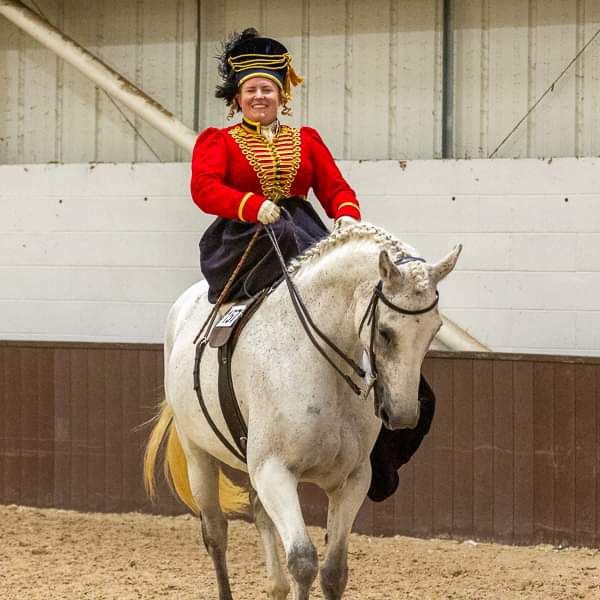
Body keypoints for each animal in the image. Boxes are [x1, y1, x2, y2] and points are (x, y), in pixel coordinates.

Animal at [144, 224, 460, 600]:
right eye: (385, 332)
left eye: (434, 330)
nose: (403, 416)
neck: (320, 361)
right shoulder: (274, 472)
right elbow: (303, 561)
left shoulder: (353, 479)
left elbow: (334, 571)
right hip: (199, 457)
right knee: (216, 534)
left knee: (259, 515)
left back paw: (276, 586)